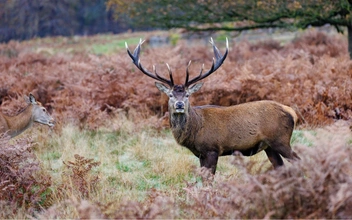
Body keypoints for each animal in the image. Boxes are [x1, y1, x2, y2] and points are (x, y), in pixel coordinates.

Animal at [126, 38, 300, 175]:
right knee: (280, 167)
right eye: (170, 95)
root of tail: (292, 112)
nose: (179, 104)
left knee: (298, 160)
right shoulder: (200, 154)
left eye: (187, 95)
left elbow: (208, 180)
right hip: (269, 146)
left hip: (280, 140)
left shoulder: (212, 149)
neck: (194, 131)